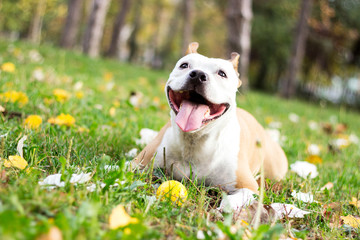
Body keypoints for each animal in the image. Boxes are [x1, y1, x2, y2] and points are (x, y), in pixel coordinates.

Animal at [131, 42, 286, 211]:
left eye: (222, 73)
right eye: (184, 65)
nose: (198, 74)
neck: (194, 141)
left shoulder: (248, 187)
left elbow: (231, 201)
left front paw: (221, 210)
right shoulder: (138, 163)